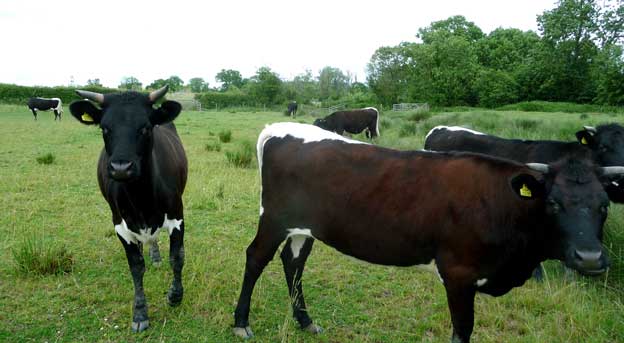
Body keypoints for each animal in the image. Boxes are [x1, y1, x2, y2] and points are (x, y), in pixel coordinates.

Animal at [68, 85, 186, 334]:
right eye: (104, 128)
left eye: (145, 127)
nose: (121, 167)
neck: (142, 199)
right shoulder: (120, 226)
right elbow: (136, 267)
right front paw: (140, 312)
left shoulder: (177, 216)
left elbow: (176, 258)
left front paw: (175, 296)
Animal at [233, 123, 620, 343]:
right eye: (553, 204)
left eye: (604, 205)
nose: (589, 257)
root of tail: (275, 129)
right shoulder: (458, 274)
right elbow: (462, 332)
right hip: (275, 218)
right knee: (256, 258)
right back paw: (241, 323)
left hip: (304, 226)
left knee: (293, 261)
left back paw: (305, 321)